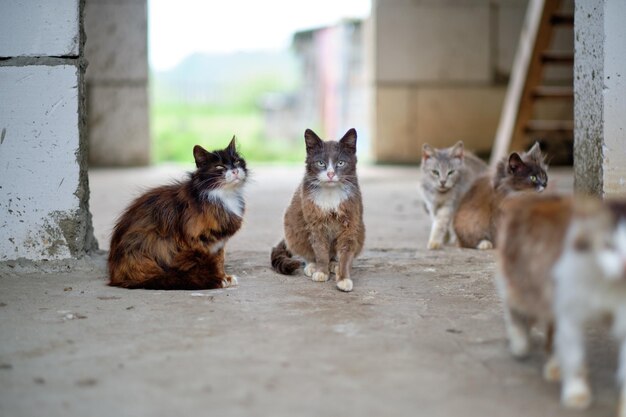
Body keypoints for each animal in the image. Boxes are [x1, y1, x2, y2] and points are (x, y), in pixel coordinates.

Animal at [107, 136, 246, 290]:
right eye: (220, 167)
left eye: (237, 161)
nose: (235, 171)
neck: (224, 196)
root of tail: (115, 276)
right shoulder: (195, 241)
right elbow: (208, 263)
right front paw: (217, 279)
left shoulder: (219, 243)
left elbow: (219, 260)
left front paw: (224, 276)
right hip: (153, 241)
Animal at [270, 127, 366, 292]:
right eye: (321, 163)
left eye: (341, 163)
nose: (330, 174)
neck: (331, 193)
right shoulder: (315, 223)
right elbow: (320, 250)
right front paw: (321, 272)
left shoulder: (351, 222)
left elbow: (346, 251)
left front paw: (343, 278)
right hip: (293, 224)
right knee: (305, 249)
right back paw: (312, 266)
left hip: (361, 230)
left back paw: (334, 264)